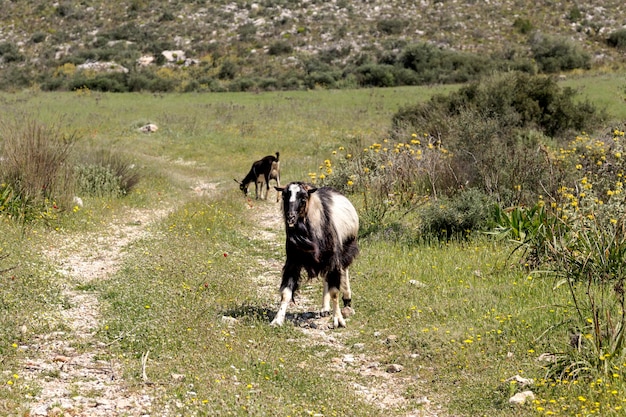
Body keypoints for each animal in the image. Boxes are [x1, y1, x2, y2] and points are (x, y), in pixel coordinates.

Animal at [270, 180, 358, 326]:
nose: (290, 217)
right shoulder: (293, 261)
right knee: (326, 279)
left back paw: (347, 302)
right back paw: (325, 308)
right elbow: (286, 292)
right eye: (284, 196)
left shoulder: (333, 259)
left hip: (346, 249)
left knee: (344, 271)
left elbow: (335, 292)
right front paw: (277, 320)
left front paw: (338, 320)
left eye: (303, 198)